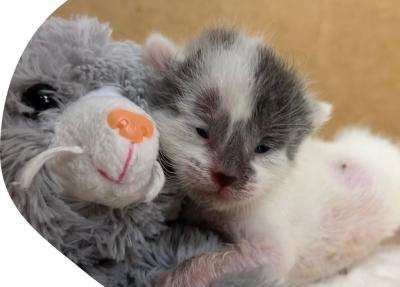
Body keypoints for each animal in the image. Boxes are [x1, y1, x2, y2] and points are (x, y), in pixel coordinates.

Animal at [145, 27, 400, 287]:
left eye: (263, 147)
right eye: (202, 131)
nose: (226, 176)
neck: (214, 211)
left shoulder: (271, 250)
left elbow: (226, 260)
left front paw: (174, 277)